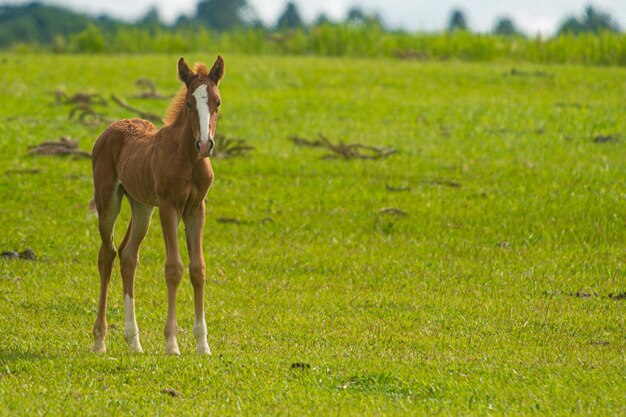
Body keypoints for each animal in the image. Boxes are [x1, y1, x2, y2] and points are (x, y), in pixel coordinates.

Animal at [89, 55, 223, 354]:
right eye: (189, 103)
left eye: (217, 102)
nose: (205, 144)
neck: (188, 159)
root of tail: (110, 128)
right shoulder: (169, 207)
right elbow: (173, 268)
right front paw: (172, 344)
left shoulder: (197, 208)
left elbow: (198, 268)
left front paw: (203, 345)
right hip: (109, 200)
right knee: (107, 254)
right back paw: (100, 340)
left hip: (141, 207)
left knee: (128, 255)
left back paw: (134, 341)